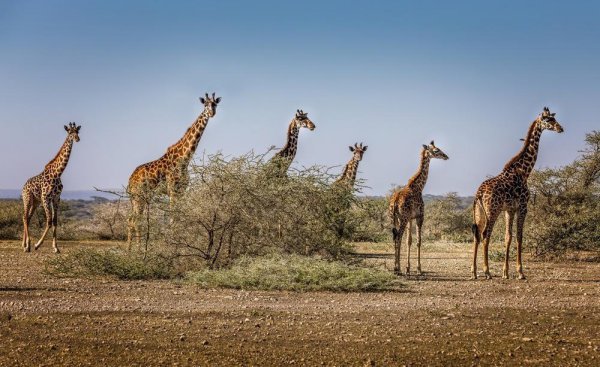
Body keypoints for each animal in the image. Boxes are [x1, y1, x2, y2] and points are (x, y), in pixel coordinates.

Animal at [21, 122, 81, 254]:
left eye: (77, 131)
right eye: (70, 132)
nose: (77, 139)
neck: (58, 173)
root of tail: (23, 186)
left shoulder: (56, 198)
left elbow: (55, 221)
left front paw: (56, 247)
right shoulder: (46, 197)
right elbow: (48, 221)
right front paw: (37, 245)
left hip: (36, 201)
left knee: (28, 217)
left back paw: (25, 244)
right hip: (27, 198)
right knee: (24, 217)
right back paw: (27, 245)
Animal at [127, 92, 221, 244]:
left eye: (215, 104)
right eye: (205, 104)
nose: (212, 113)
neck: (184, 159)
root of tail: (130, 181)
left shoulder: (181, 191)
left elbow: (179, 219)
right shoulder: (172, 190)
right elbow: (173, 219)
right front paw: (172, 244)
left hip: (137, 197)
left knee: (130, 220)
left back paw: (129, 249)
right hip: (139, 196)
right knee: (136, 221)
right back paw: (138, 248)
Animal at [392, 141, 448, 276]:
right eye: (436, 150)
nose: (446, 156)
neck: (419, 186)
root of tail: (395, 202)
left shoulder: (410, 218)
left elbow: (409, 241)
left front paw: (408, 268)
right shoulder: (420, 216)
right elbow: (418, 241)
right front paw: (418, 269)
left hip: (395, 218)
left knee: (395, 237)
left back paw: (396, 268)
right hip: (403, 219)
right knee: (398, 237)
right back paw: (397, 269)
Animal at [472, 108, 564, 280]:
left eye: (554, 119)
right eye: (549, 120)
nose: (560, 128)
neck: (524, 171)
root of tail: (479, 193)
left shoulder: (510, 209)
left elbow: (508, 237)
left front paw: (506, 272)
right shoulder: (522, 207)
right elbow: (520, 237)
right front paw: (520, 272)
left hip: (479, 212)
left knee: (476, 235)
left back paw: (474, 271)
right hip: (492, 211)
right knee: (486, 234)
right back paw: (487, 271)